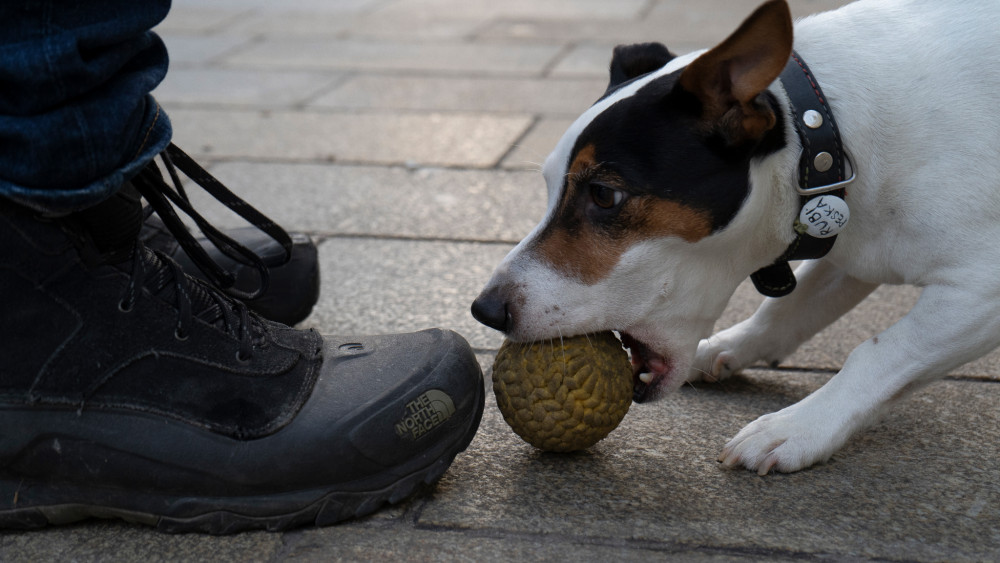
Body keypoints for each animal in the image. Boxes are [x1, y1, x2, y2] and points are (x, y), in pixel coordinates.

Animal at [472, 0, 1000, 476]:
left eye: (603, 194)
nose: (485, 311)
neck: (824, 135)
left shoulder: (979, 292)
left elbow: (879, 352)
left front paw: (795, 428)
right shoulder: (848, 247)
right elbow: (788, 309)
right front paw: (726, 348)